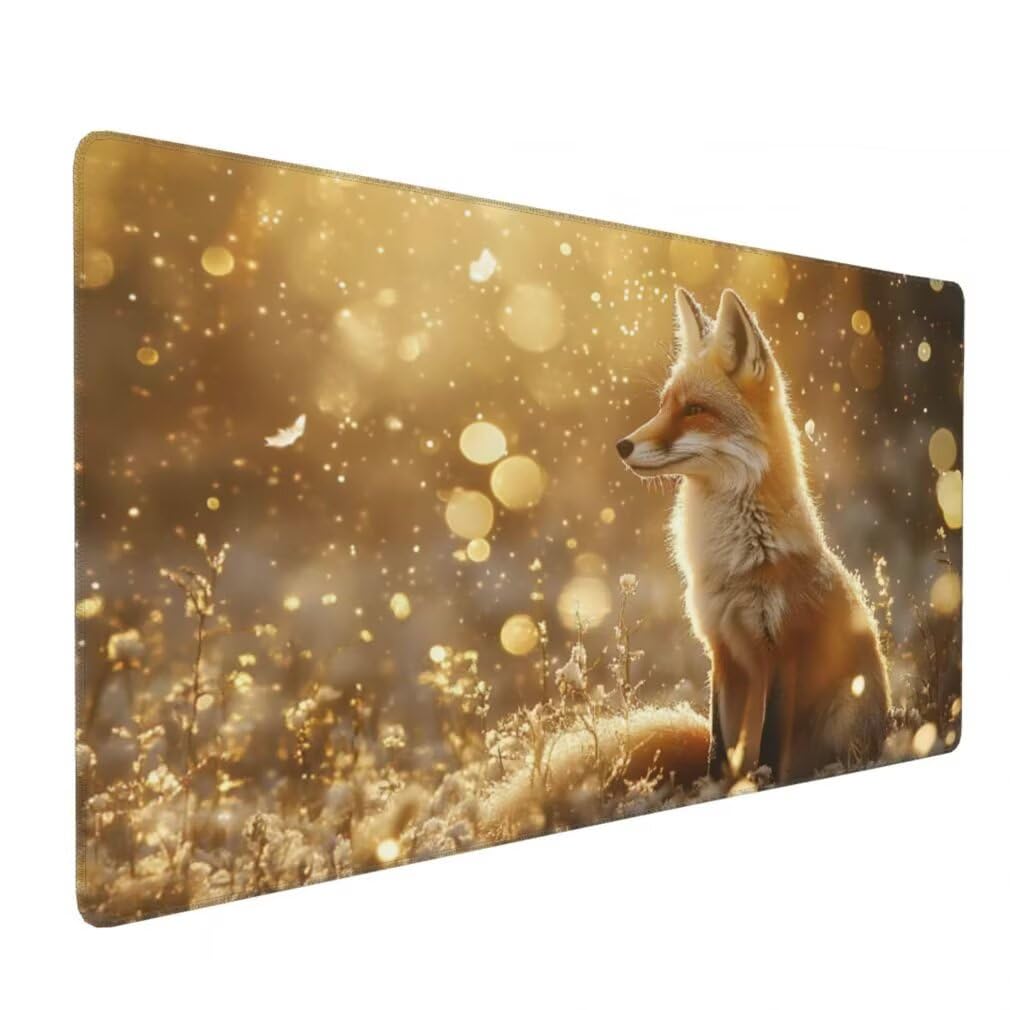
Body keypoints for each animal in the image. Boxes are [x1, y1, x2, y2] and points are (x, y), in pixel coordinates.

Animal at [616, 287, 890, 785]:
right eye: (664, 405)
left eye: (694, 410)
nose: (622, 446)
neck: (737, 561)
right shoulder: (722, 649)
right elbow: (718, 747)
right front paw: (718, 785)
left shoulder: (784, 650)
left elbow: (770, 740)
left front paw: (762, 779)